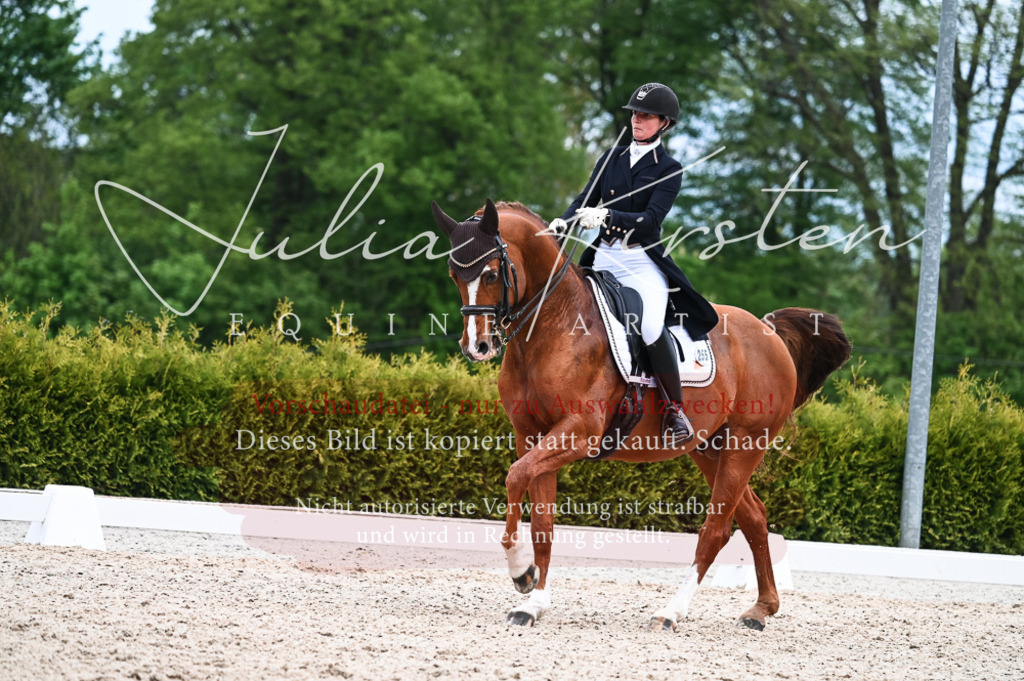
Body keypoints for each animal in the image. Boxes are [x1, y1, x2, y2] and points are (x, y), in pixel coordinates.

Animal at [430, 198, 851, 631]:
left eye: (491, 273)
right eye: (454, 275)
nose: (477, 346)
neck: (553, 324)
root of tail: (768, 333)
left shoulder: (580, 432)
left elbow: (516, 477)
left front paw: (520, 573)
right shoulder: (531, 435)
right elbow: (542, 521)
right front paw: (533, 602)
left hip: (745, 443)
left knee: (717, 528)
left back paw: (671, 611)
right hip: (709, 448)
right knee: (753, 516)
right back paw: (761, 608)